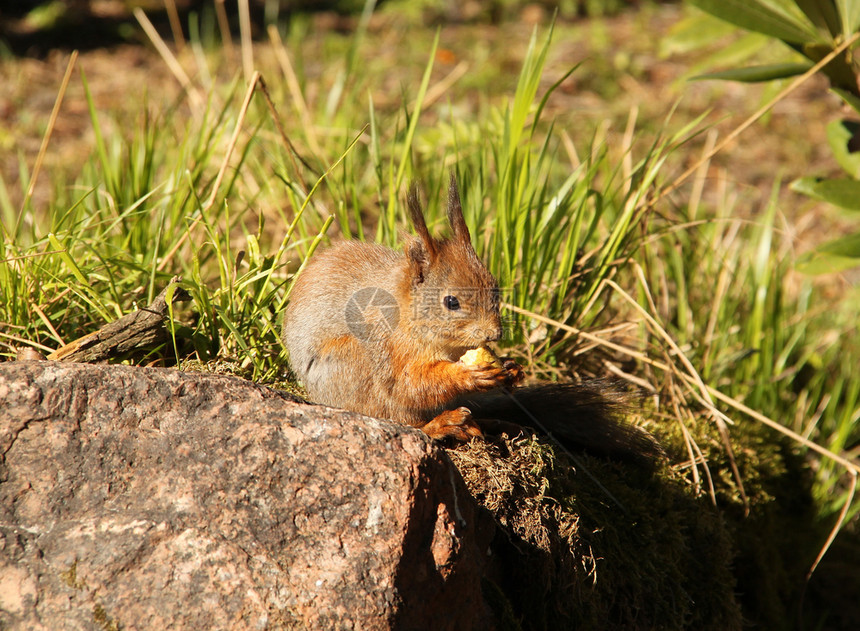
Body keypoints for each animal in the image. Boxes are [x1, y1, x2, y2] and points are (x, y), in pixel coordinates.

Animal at [282, 177, 660, 464]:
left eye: (495, 287)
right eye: (451, 302)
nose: (495, 334)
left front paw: (513, 368)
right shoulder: (385, 346)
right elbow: (409, 384)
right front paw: (468, 375)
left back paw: (493, 421)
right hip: (350, 366)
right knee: (403, 420)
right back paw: (444, 424)